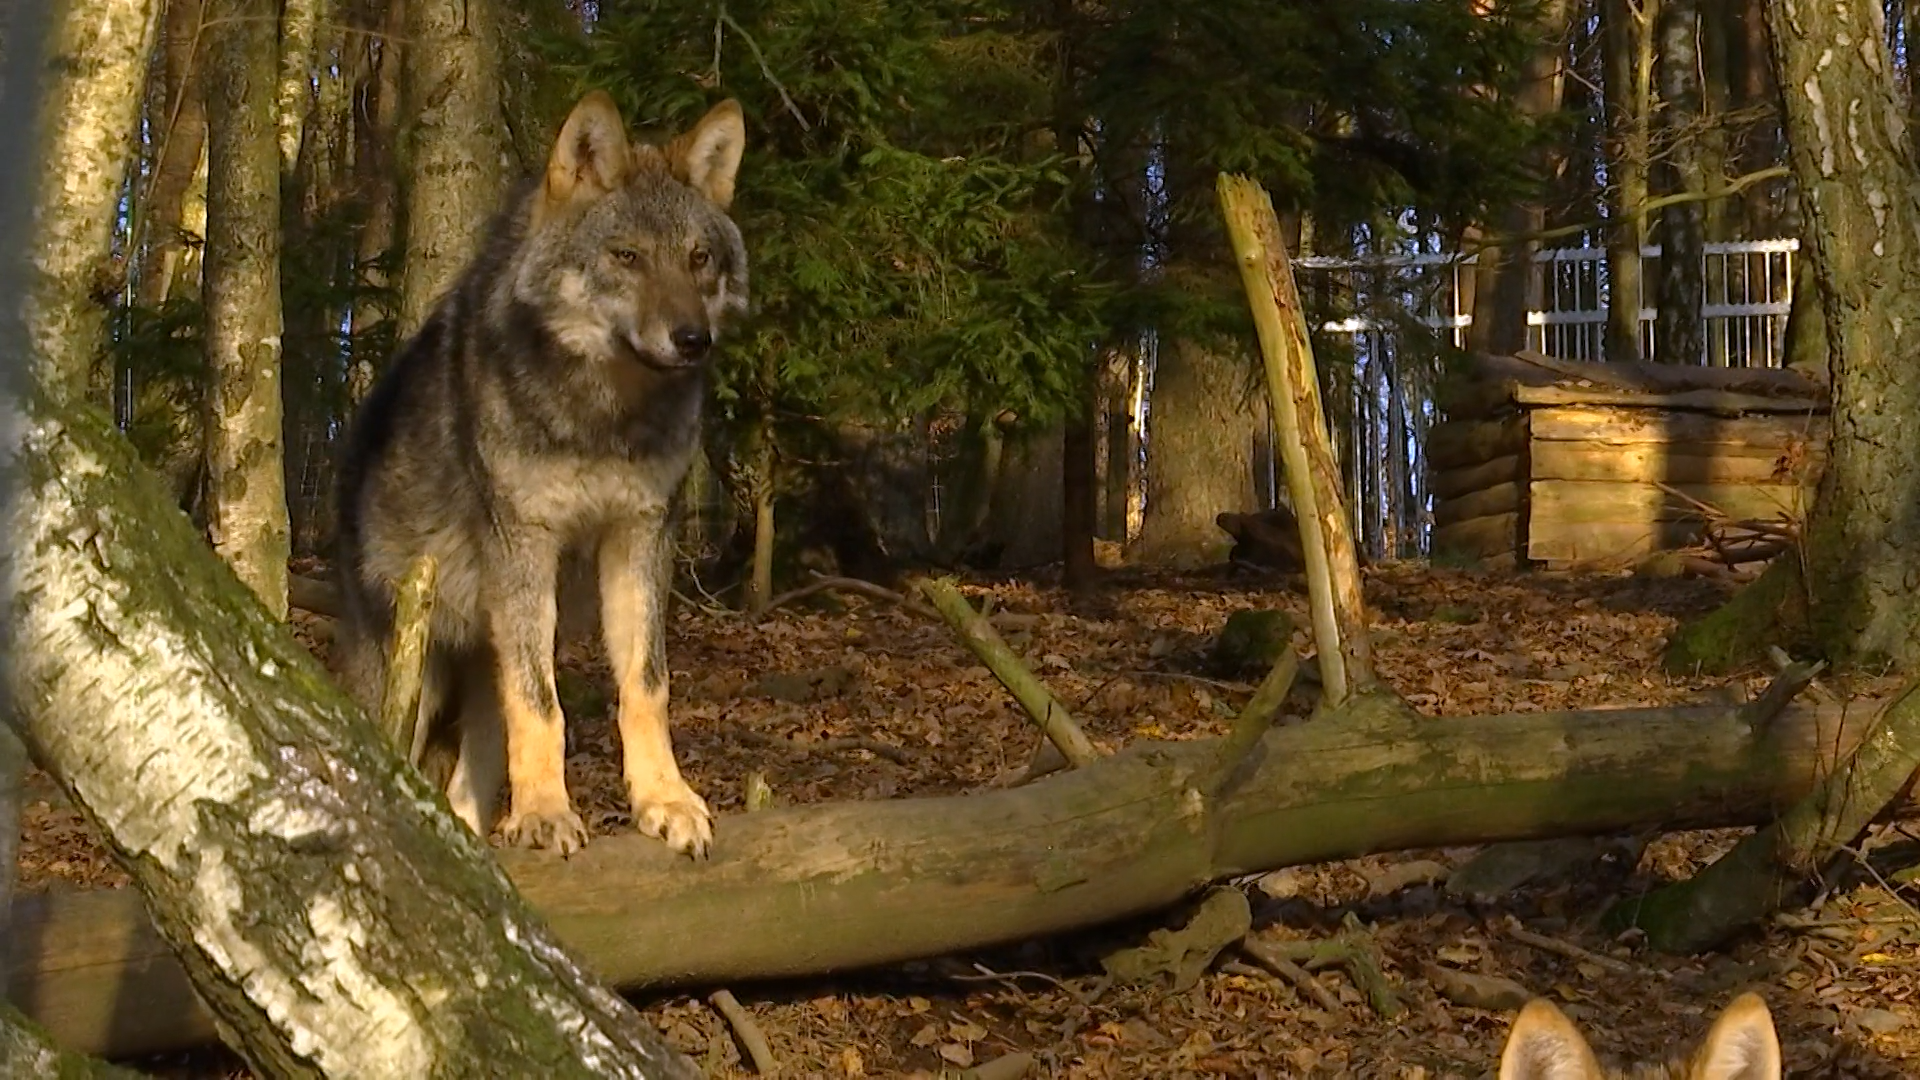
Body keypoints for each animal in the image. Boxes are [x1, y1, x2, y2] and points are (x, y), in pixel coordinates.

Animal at [334, 91, 748, 857]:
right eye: (626, 257)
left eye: (699, 258)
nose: (692, 340)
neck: (602, 419)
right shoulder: (523, 543)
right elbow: (544, 707)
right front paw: (545, 815)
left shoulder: (642, 536)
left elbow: (645, 687)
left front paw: (665, 801)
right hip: (412, 671)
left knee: (466, 786)